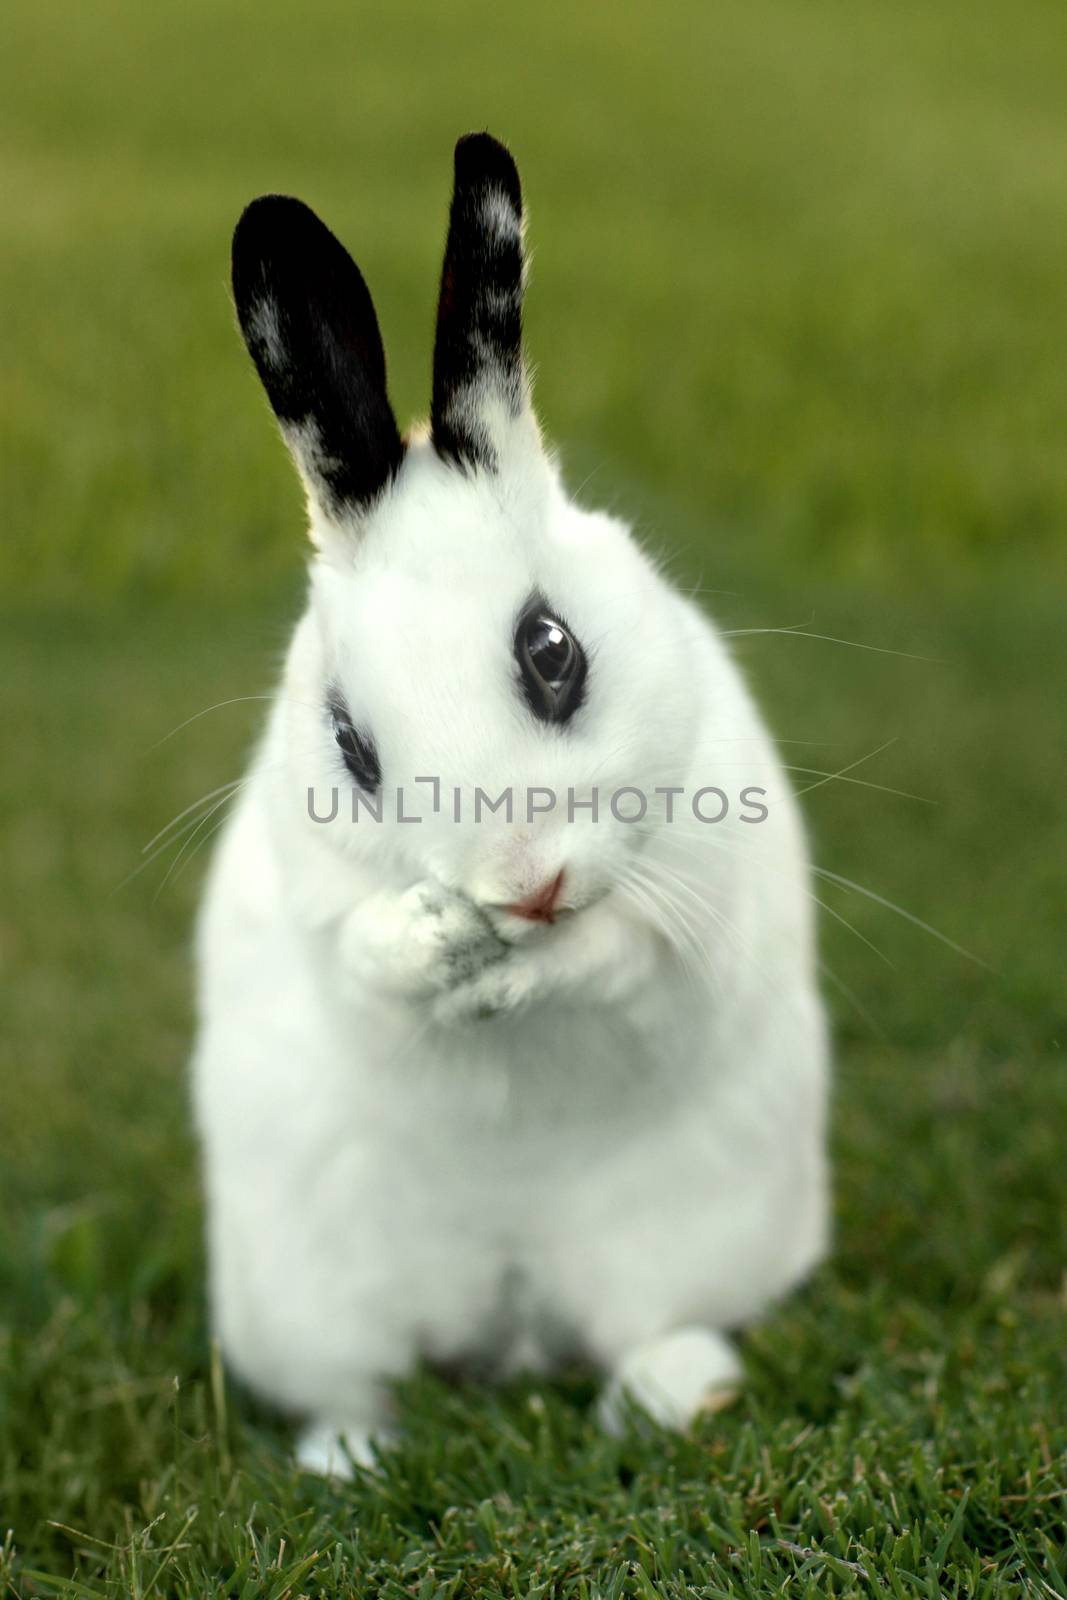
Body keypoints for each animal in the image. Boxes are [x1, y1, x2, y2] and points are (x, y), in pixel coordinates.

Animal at [198, 134, 831, 1472]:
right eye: (349, 744)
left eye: (553, 651)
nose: (521, 884)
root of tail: (512, 1305)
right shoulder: (315, 911)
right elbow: (362, 966)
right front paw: (437, 945)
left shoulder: (691, 915)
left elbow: (624, 958)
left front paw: (518, 971)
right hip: (314, 1294)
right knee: (363, 1380)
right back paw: (350, 1458)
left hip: (684, 1236)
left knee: (644, 1330)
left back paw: (676, 1395)